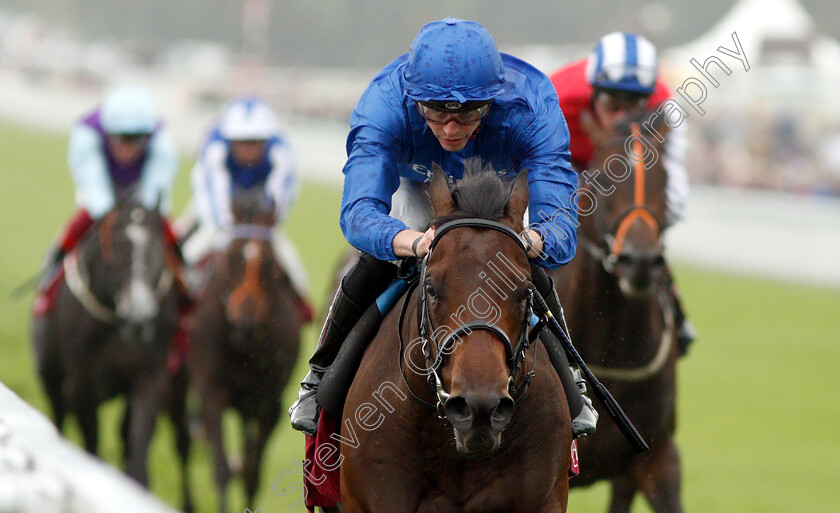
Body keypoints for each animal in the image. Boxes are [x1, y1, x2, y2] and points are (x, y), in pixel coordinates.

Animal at [31, 194, 194, 510]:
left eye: (159, 252)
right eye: (117, 248)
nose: (140, 316)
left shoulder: (149, 376)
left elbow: (138, 448)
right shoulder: (82, 381)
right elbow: (90, 442)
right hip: (50, 373)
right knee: (58, 412)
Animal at [189, 188, 302, 512]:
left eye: (271, 265)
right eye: (229, 260)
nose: (246, 323)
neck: (245, 349)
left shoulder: (268, 402)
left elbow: (252, 472)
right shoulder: (213, 391)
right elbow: (222, 469)